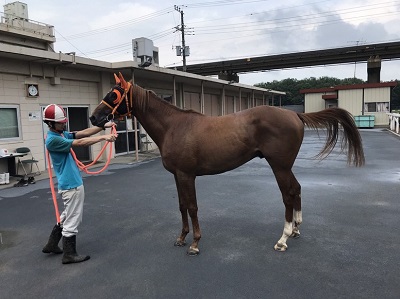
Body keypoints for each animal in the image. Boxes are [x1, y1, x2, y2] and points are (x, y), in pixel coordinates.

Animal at [90, 72, 366, 255]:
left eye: (113, 94)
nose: (94, 117)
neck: (173, 126)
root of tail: (293, 114)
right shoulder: (177, 175)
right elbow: (181, 206)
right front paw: (181, 237)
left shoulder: (187, 175)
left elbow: (192, 207)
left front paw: (195, 243)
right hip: (286, 167)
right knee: (297, 189)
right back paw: (296, 229)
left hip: (279, 167)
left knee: (288, 194)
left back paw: (283, 239)